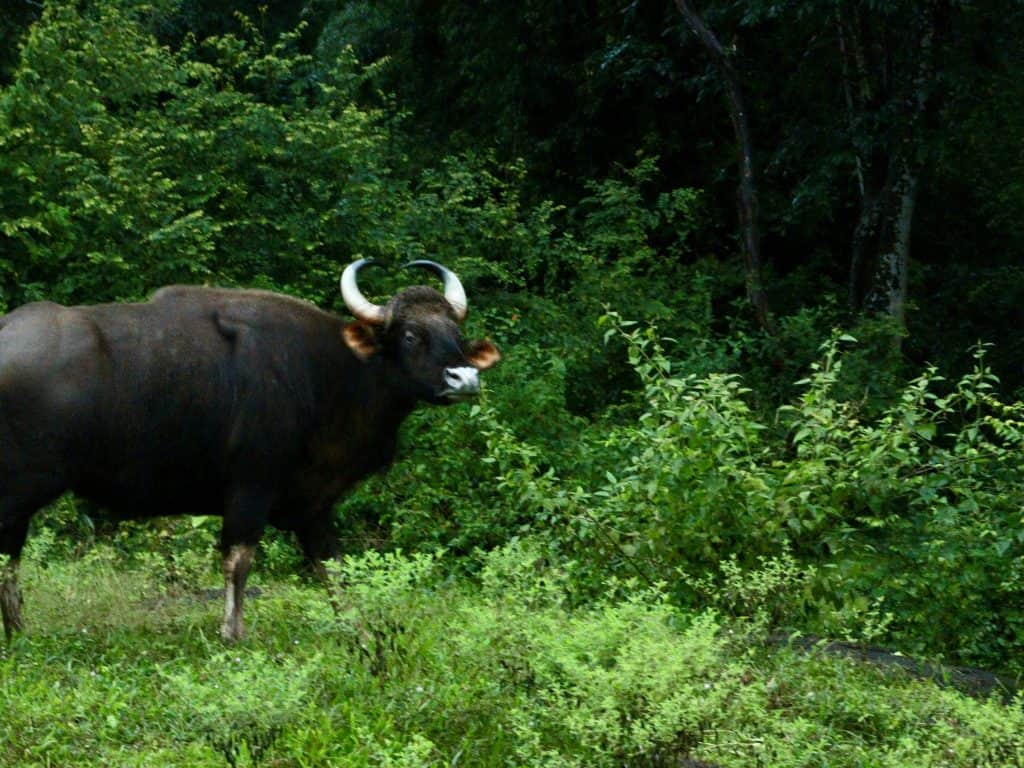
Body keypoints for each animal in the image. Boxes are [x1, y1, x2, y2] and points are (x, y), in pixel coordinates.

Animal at [0, 259, 500, 641]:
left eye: (456, 334)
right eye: (411, 335)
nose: (464, 378)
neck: (331, 374)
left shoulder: (313, 504)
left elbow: (334, 570)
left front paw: (356, 632)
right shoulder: (250, 488)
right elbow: (238, 561)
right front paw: (232, 633)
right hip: (20, 489)